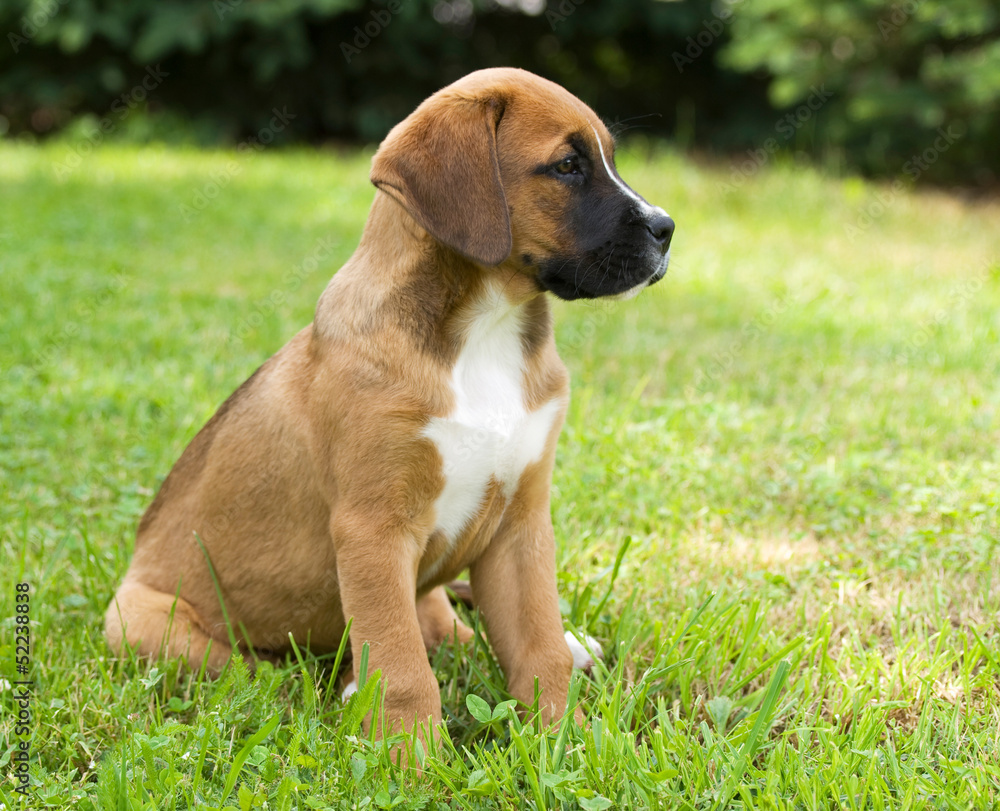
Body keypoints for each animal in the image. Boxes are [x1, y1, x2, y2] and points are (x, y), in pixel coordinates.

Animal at [105, 68, 676, 744]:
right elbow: (403, 669)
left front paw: (566, 737)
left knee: (447, 627)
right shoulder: (373, 529)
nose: (667, 229)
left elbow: (537, 647)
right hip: (141, 622)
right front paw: (412, 755)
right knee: (264, 673)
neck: (483, 332)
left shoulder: (522, 524)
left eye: (609, 158)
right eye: (567, 166)